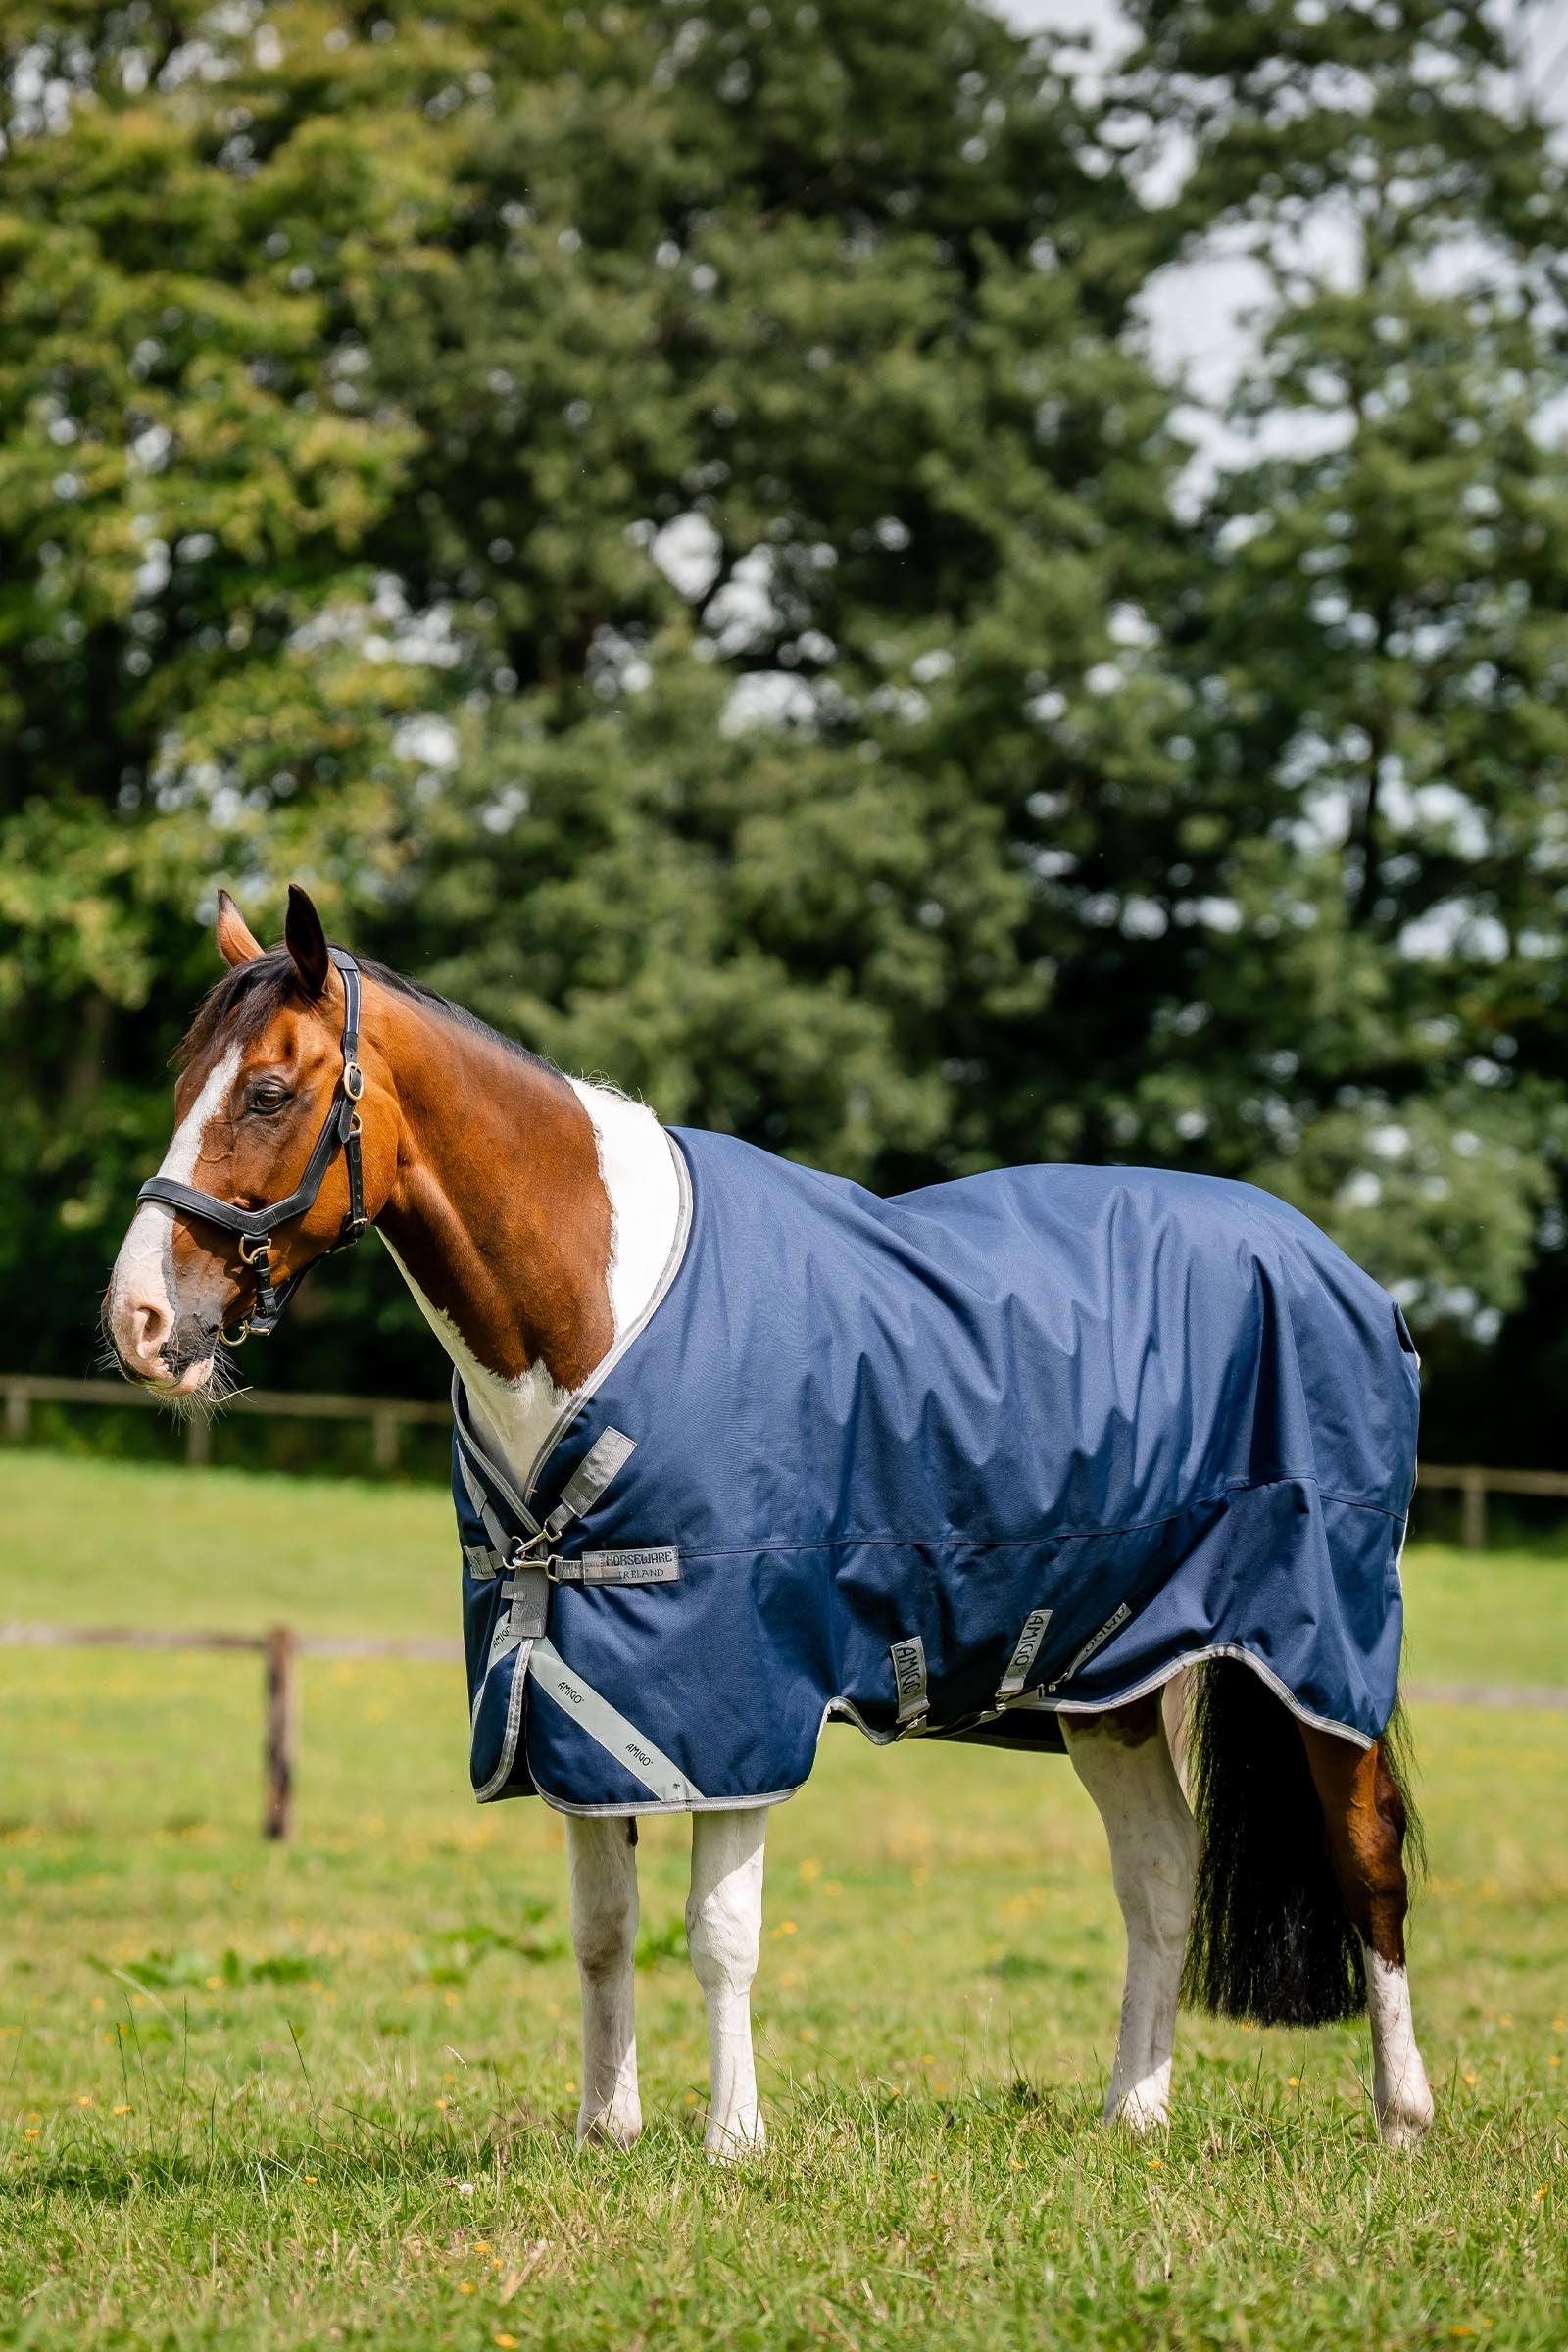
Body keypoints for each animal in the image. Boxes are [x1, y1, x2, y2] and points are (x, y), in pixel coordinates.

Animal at [104, 885, 1434, 2156]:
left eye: (269, 1091)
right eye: (179, 1085)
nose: (140, 1323)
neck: (595, 1303)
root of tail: (1340, 1270)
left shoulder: (731, 1698)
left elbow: (719, 1930)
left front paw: (732, 2140)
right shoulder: (576, 1694)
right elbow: (601, 1927)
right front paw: (605, 2130)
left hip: (1317, 1650)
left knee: (1364, 1858)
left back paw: (1400, 2117)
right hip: (1106, 1676)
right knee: (1159, 1875)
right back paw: (1135, 2113)